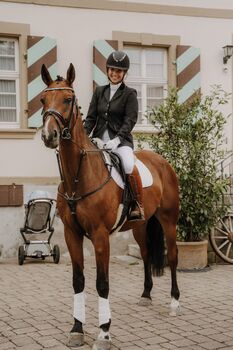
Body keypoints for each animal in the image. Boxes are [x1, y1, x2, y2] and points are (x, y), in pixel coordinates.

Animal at [40, 63, 180, 350]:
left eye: (68, 99)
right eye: (42, 100)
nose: (49, 135)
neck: (78, 177)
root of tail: (163, 161)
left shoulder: (100, 236)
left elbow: (102, 283)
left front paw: (104, 333)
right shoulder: (72, 234)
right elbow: (78, 281)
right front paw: (77, 329)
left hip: (169, 221)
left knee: (172, 256)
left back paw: (173, 303)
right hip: (140, 226)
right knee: (146, 254)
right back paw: (146, 295)